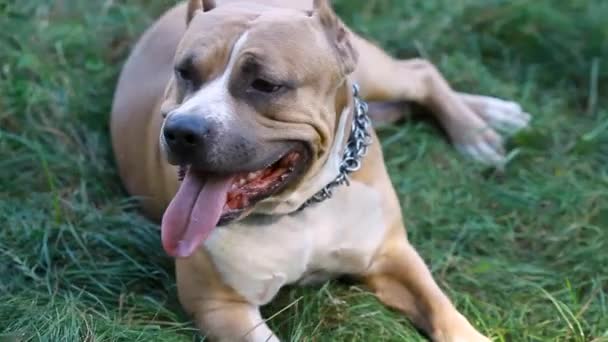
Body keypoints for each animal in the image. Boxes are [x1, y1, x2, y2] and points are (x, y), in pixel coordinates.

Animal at [111, 1, 528, 340]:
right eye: (184, 72)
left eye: (265, 84)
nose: (183, 130)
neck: (301, 206)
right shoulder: (221, 307)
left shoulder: (391, 255)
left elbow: (443, 311)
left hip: (370, 69)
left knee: (419, 72)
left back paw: (479, 128)